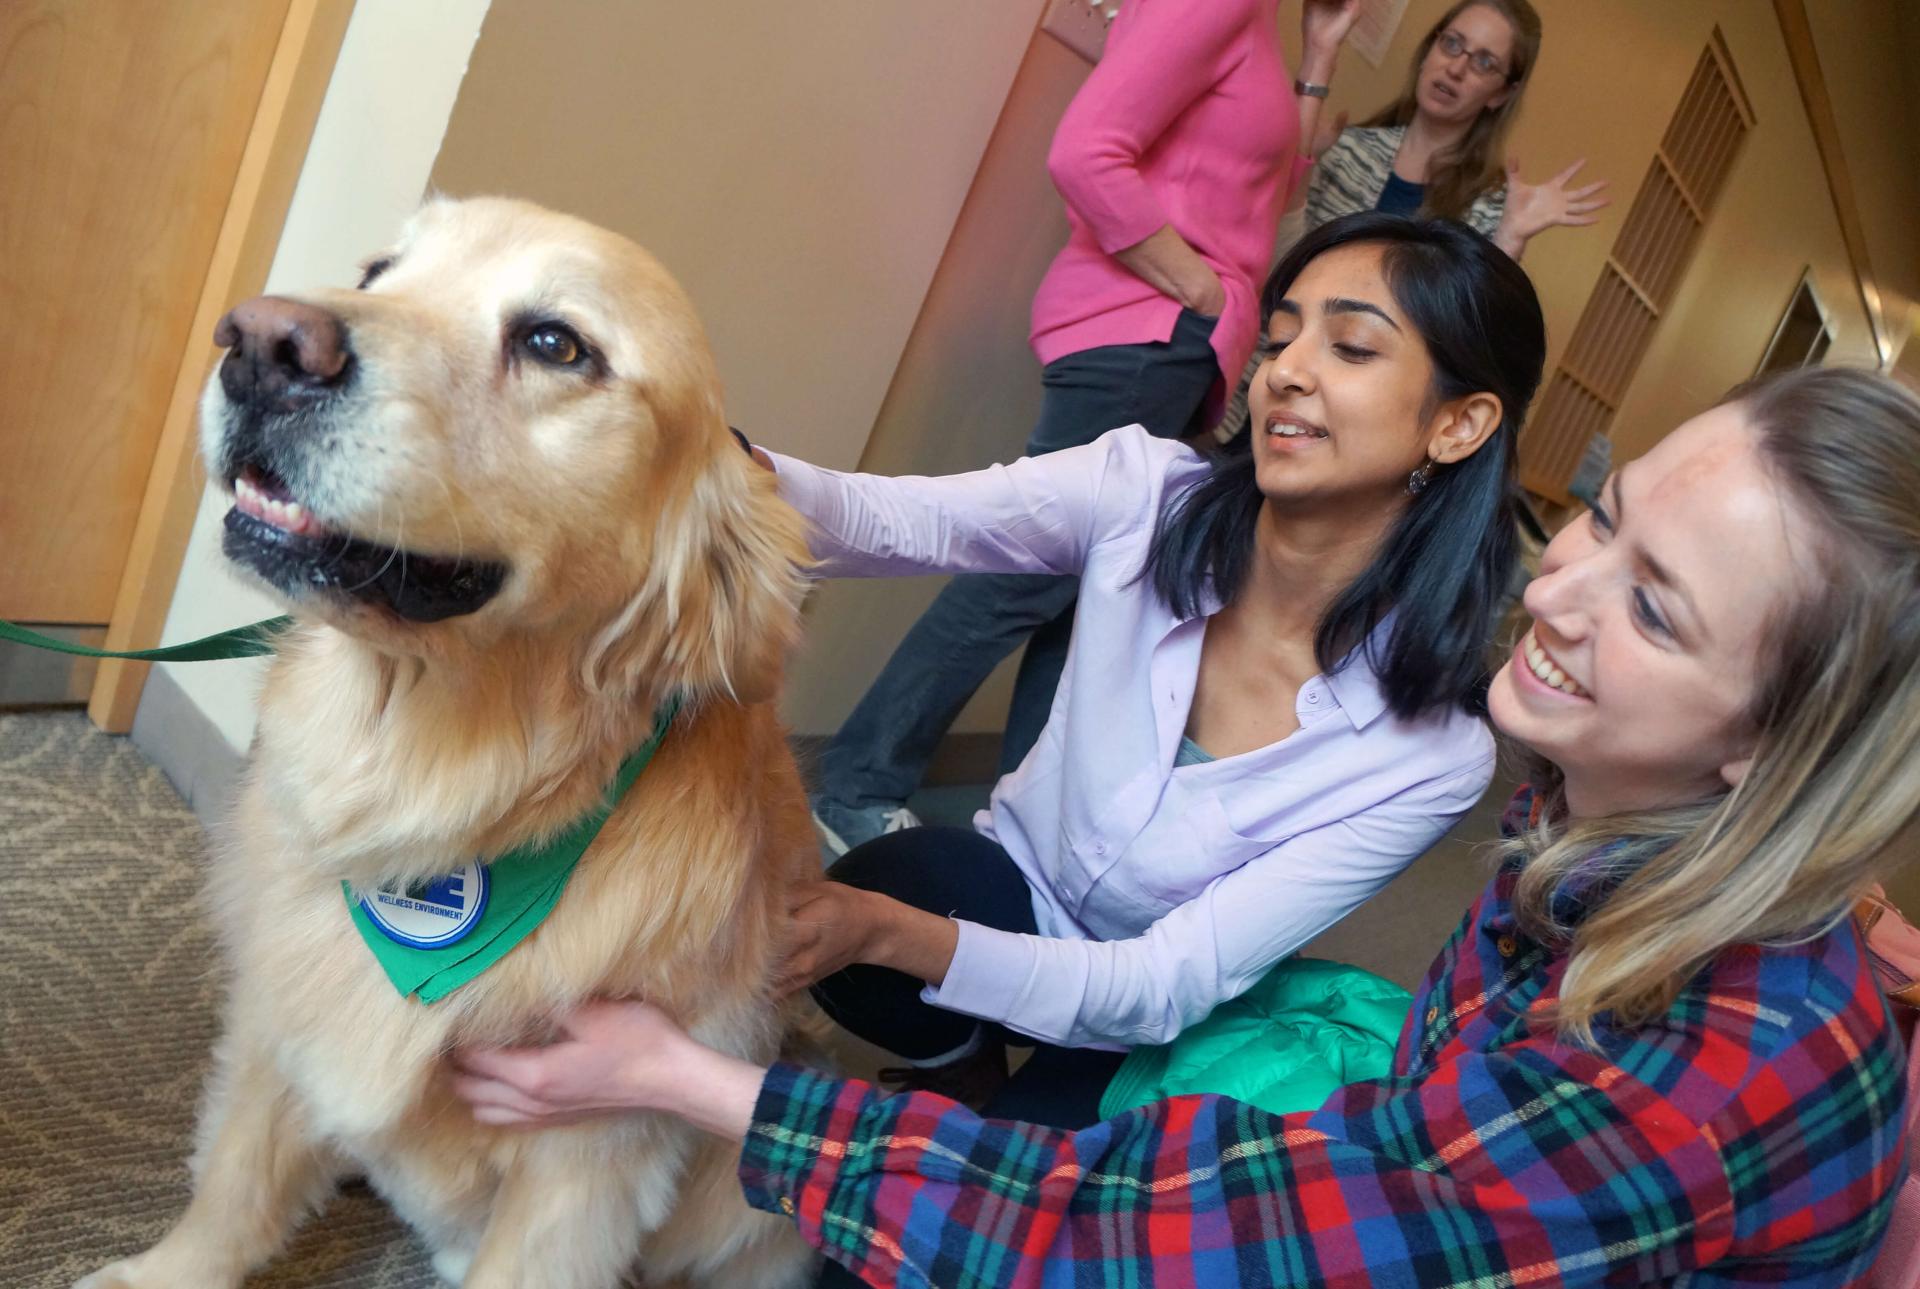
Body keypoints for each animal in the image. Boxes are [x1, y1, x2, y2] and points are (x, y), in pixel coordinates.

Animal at [76, 196, 817, 1283]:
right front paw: (168, 1269)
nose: (261, 342)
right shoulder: (291, 1002)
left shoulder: (586, 1157)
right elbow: (237, 1177)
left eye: (555, 343)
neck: (427, 783)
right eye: (376, 273)